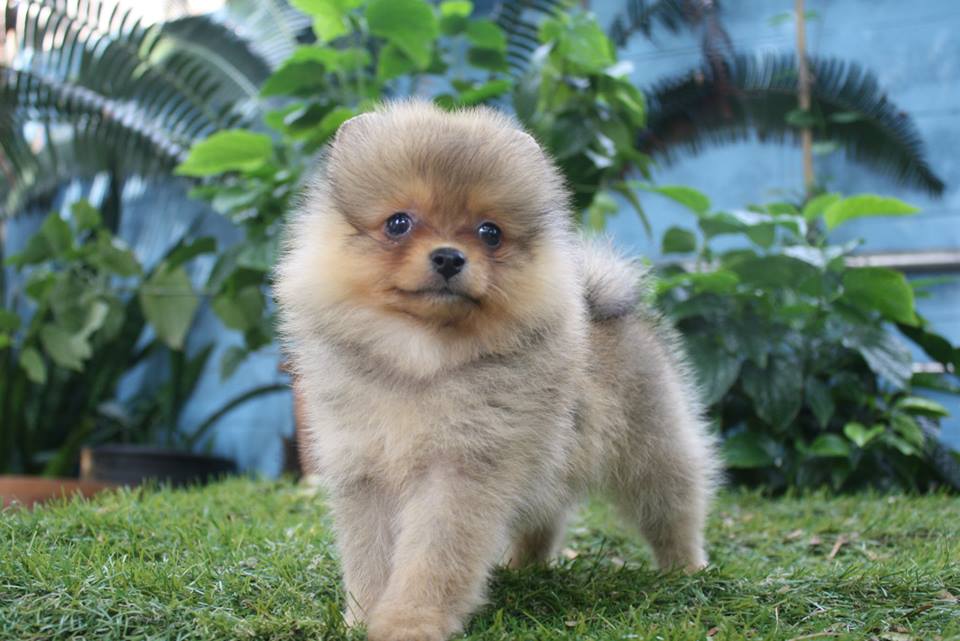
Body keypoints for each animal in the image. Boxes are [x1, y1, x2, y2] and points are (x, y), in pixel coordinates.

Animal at [275, 100, 719, 641]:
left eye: (490, 232)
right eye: (398, 223)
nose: (449, 256)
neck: (421, 362)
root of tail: (605, 304)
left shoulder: (461, 472)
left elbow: (432, 559)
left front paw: (410, 621)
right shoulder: (364, 469)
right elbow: (370, 556)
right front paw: (364, 616)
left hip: (651, 446)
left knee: (674, 506)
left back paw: (686, 567)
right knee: (545, 518)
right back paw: (523, 565)